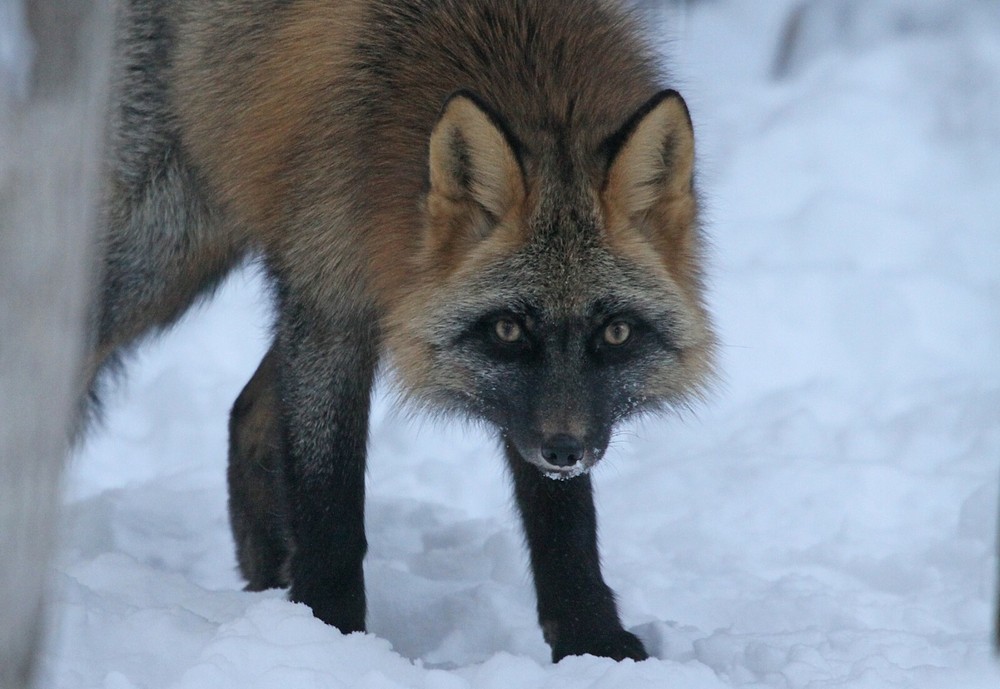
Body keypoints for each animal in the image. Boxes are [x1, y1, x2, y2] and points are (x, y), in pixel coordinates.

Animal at [91, 0, 716, 663]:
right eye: (508, 329)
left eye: (617, 334)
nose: (565, 451)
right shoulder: (331, 301)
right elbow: (330, 501)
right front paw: (331, 633)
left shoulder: (527, 406)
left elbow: (563, 519)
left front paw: (591, 643)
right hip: (155, 255)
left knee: (248, 417)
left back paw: (264, 590)